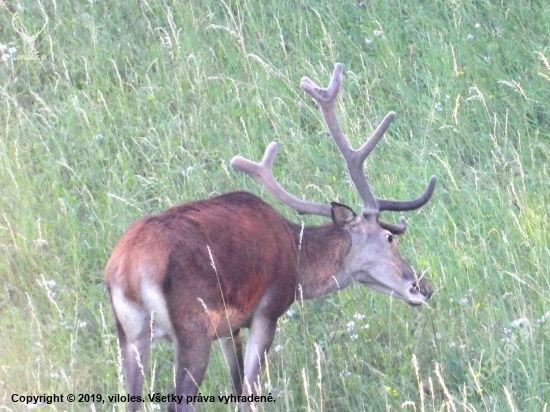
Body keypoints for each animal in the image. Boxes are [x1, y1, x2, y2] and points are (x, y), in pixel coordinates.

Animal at [105, 62, 438, 410]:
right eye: (390, 239)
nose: (423, 286)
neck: (297, 257)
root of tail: (127, 270)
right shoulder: (268, 308)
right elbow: (249, 392)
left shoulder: (230, 328)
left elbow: (237, 385)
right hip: (192, 328)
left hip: (129, 332)